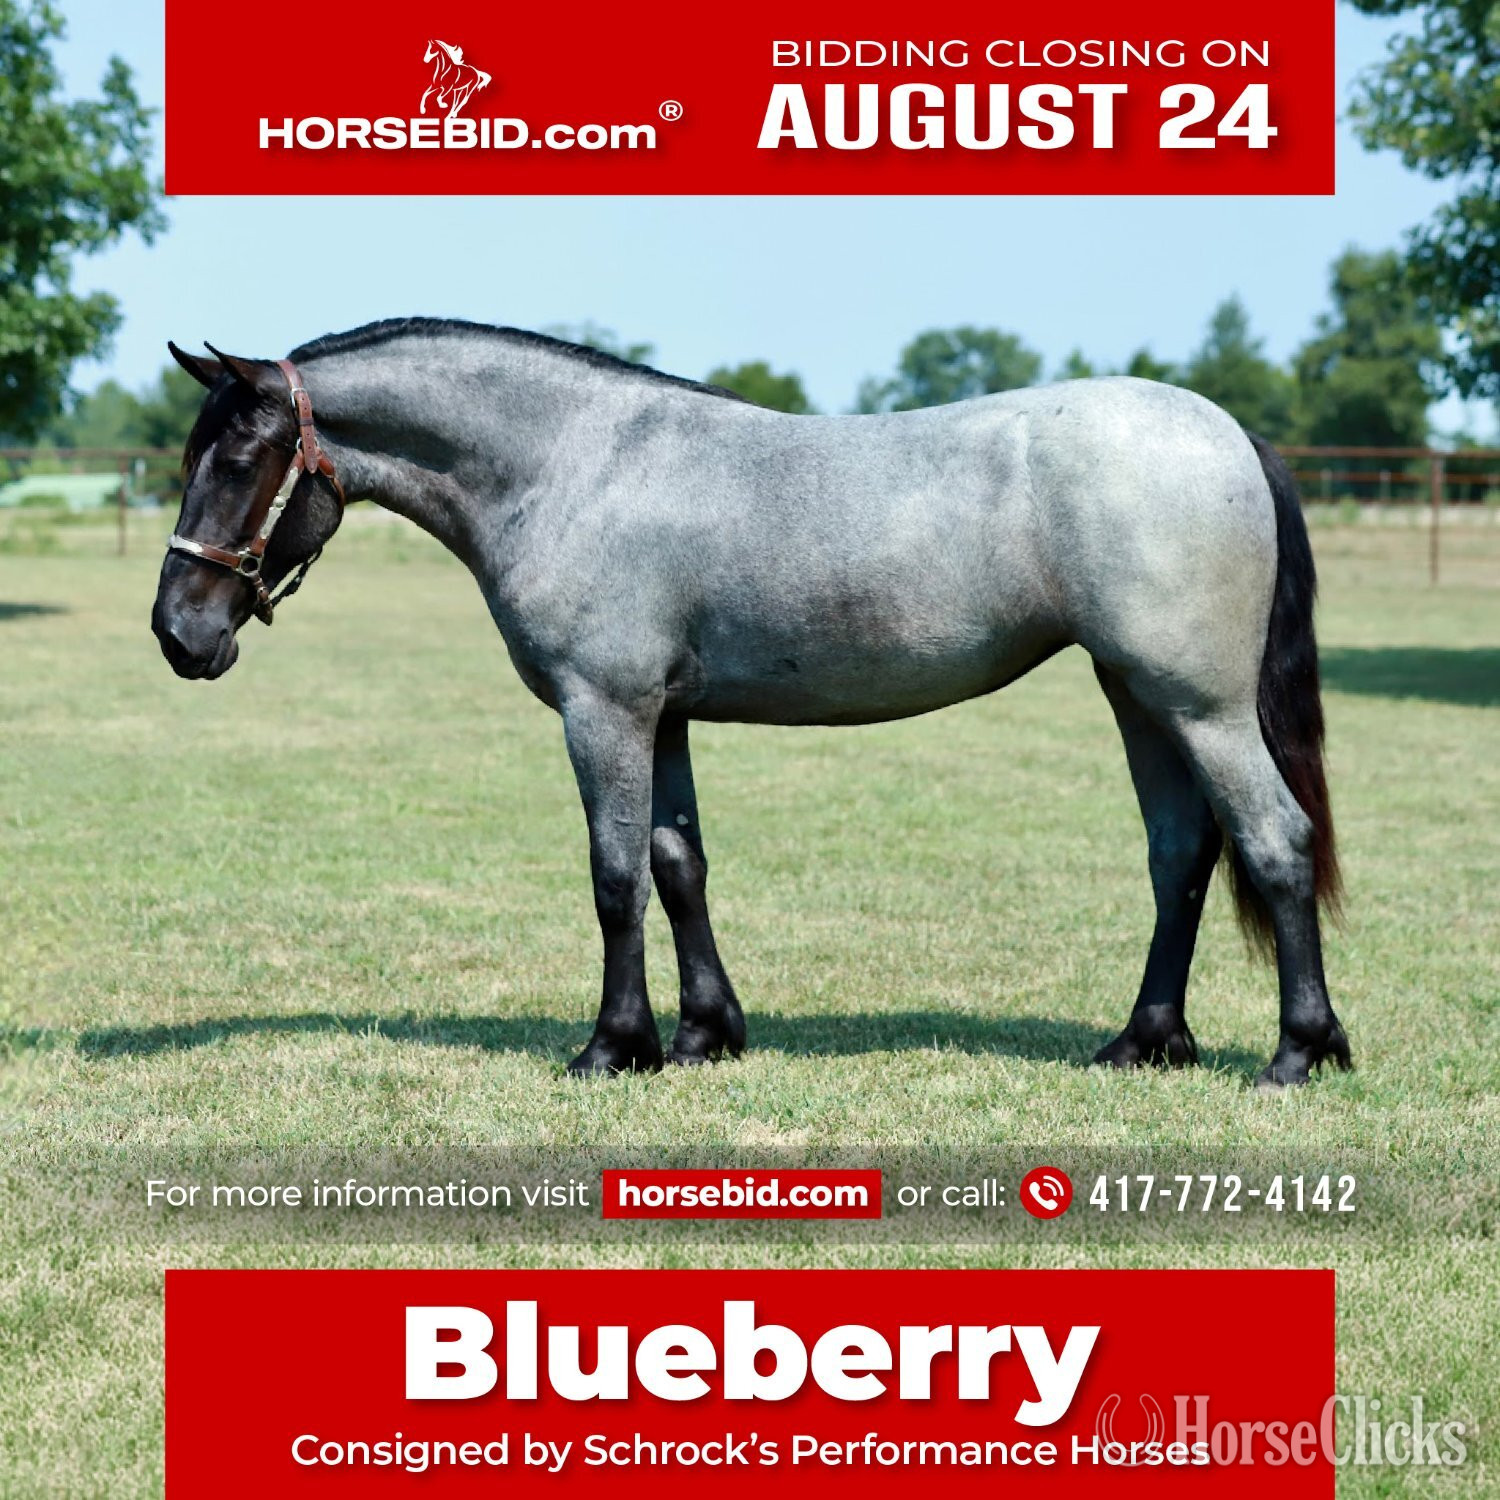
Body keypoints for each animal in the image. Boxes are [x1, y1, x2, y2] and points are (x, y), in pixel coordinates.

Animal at [152, 319, 1350, 1088]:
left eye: (245, 455)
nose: (178, 632)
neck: (577, 463)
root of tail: (1227, 433)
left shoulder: (604, 710)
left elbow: (616, 877)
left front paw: (613, 1047)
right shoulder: (663, 716)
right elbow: (679, 864)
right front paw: (703, 1035)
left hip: (1199, 705)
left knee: (1275, 840)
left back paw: (1300, 1051)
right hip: (1138, 695)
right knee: (1182, 853)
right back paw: (1146, 1042)